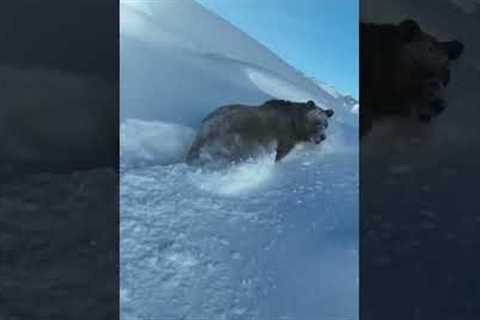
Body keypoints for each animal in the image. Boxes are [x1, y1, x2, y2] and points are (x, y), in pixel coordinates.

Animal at [186, 99, 336, 165]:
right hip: (235, 137)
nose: (323, 137)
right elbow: (280, 154)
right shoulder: (285, 138)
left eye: (326, 124)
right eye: (317, 122)